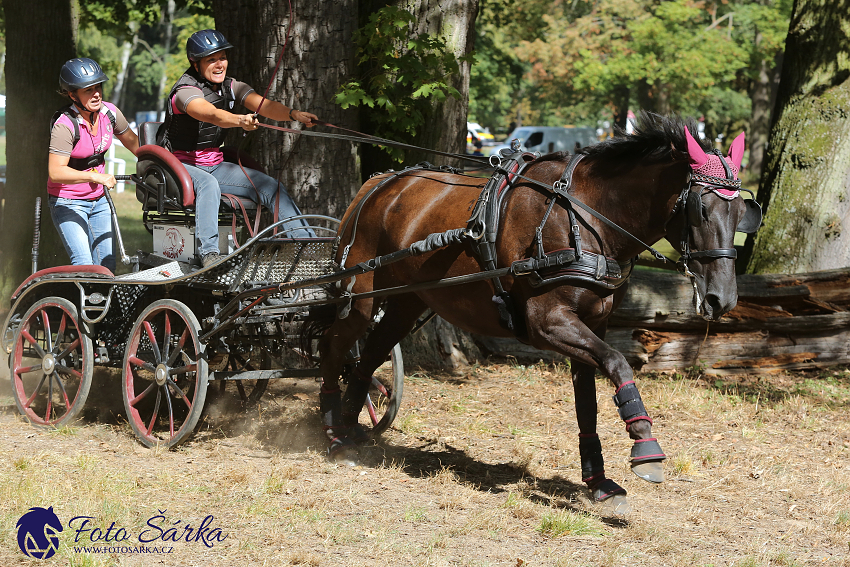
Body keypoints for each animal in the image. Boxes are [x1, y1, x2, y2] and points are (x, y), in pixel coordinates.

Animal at [304, 113, 756, 512]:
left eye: (741, 213)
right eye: (701, 208)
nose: (722, 298)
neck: (586, 216)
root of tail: (378, 183)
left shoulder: (590, 325)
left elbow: (587, 402)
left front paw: (599, 481)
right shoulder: (548, 323)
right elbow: (619, 363)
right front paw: (646, 445)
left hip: (406, 300)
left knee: (368, 357)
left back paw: (350, 427)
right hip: (361, 295)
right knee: (334, 347)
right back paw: (332, 430)